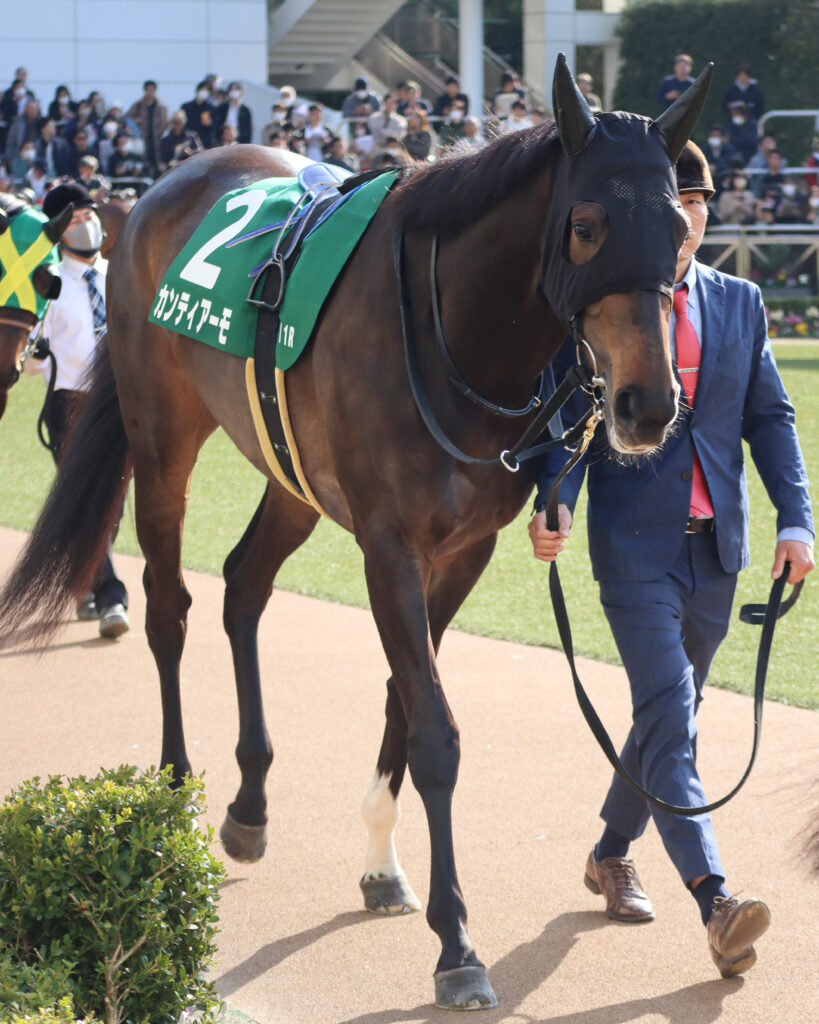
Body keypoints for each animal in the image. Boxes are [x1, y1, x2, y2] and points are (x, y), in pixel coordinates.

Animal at [0, 59, 711, 1010]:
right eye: (587, 224)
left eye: (675, 229)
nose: (645, 406)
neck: (455, 332)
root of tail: (158, 191)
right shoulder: (388, 546)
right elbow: (436, 732)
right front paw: (455, 944)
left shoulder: (463, 551)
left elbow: (401, 698)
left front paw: (380, 864)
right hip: (163, 438)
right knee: (168, 605)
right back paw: (176, 790)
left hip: (288, 470)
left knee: (243, 585)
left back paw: (249, 805)